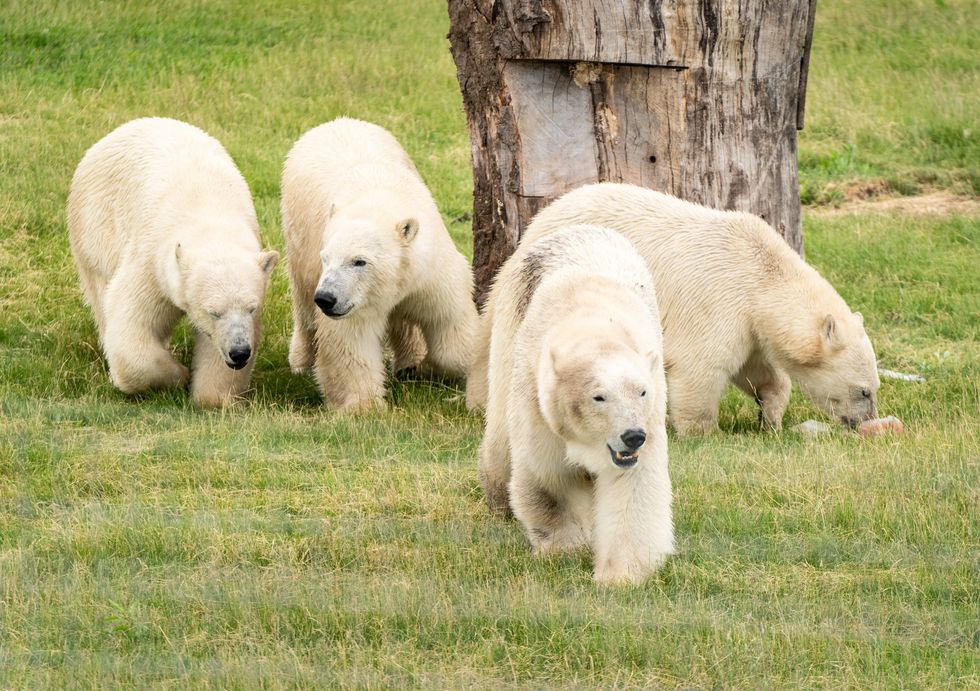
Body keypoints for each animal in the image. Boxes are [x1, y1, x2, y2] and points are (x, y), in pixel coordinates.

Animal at [67, 117, 279, 407]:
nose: (239, 352)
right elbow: (132, 323)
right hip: (95, 229)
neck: (209, 215)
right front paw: (179, 375)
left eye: (251, 308)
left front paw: (213, 395)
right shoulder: (152, 263)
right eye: (213, 312)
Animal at [281, 117, 478, 410]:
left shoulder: (432, 269)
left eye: (359, 261)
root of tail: (335, 121)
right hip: (297, 237)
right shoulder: (352, 301)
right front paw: (364, 405)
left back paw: (409, 362)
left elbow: (450, 325)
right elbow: (350, 342)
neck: (378, 202)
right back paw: (301, 362)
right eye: (326, 258)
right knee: (303, 303)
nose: (326, 298)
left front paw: (429, 368)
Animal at [469, 183, 880, 435]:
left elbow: (757, 370)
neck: (762, 272)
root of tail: (542, 217)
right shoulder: (720, 301)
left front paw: (771, 419)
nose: (865, 423)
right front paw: (707, 433)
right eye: (864, 391)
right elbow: (702, 367)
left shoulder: (749, 323)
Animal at [479, 223, 673, 585]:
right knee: (500, 432)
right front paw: (564, 549)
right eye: (599, 396)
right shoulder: (537, 397)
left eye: (641, 392)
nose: (633, 436)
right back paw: (497, 498)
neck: (593, 319)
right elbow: (549, 475)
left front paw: (620, 576)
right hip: (510, 318)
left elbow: (633, 486)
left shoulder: (652, 410)